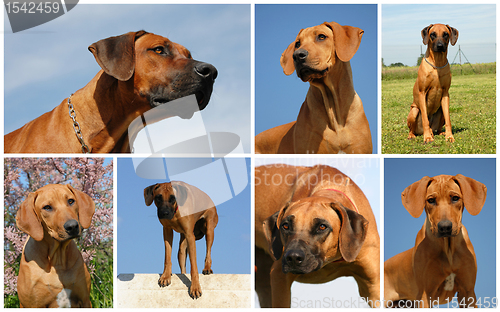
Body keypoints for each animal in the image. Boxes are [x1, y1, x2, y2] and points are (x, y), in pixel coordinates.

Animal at [384, 174, 486, 308]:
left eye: (455, 198)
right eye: (431, 200)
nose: (445, 227)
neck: (448, 248)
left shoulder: (468, 292)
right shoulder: (425, 294)